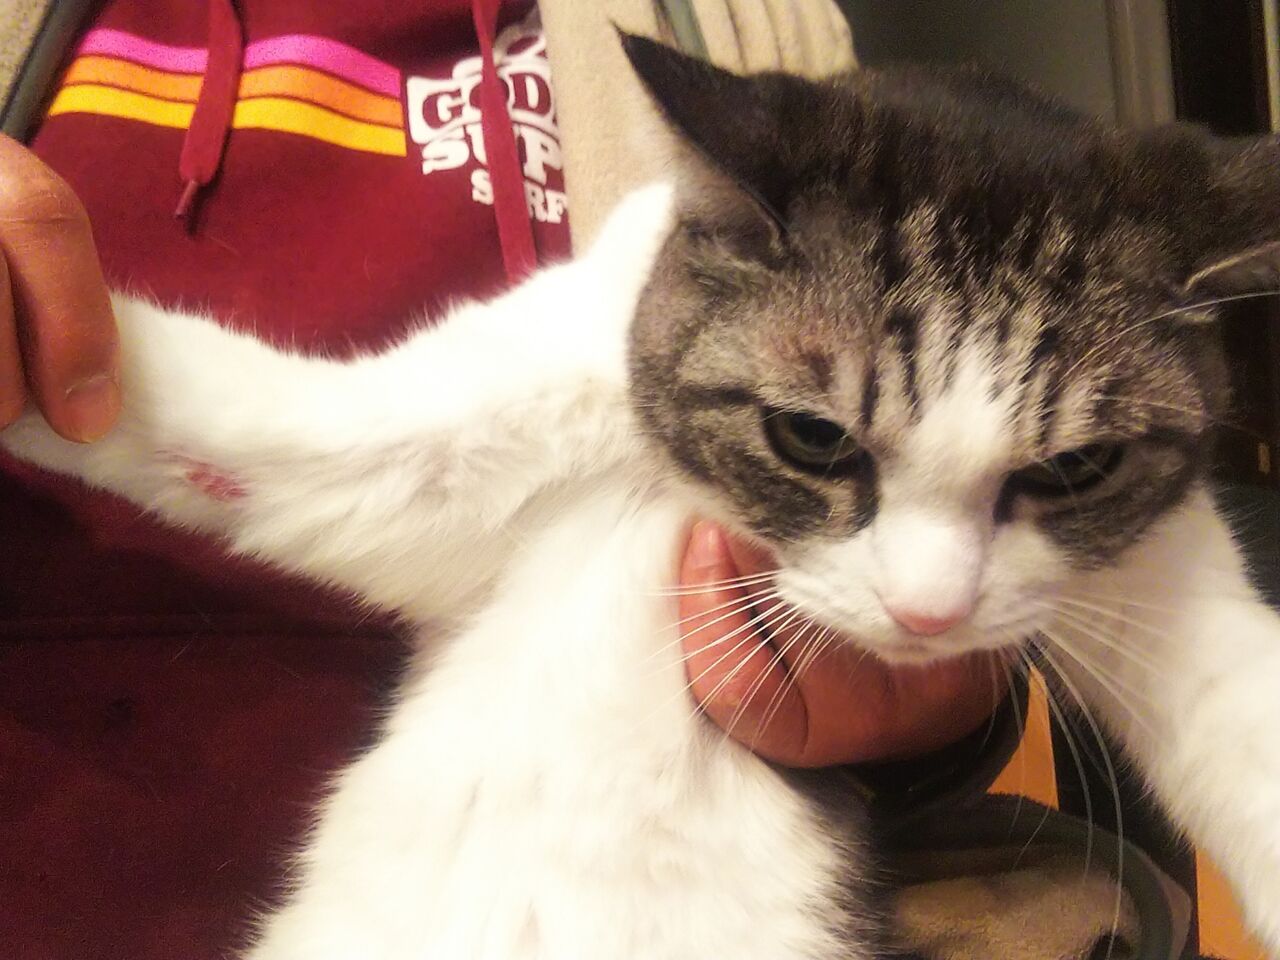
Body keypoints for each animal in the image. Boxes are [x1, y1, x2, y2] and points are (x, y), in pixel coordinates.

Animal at [5, 34, 1280, 959]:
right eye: (811, 437)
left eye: (1069, 470)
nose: (928, 617)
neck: (686, 489)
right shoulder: (503, 404)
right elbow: (261, 434)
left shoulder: (1152, 568)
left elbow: (1235, 707)